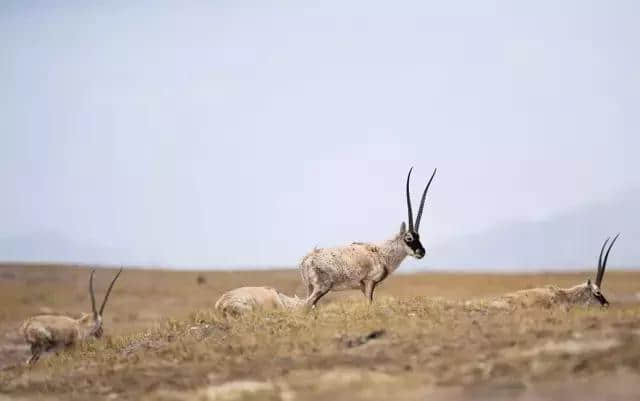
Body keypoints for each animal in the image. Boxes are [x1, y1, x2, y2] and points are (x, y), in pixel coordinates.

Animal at [298, 167, 436, 308]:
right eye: (408, 238)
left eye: (418, 236)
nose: (421, 252)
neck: (382, 253)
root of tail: (306, 259)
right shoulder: (369, 282)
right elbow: (370, 303)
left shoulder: (363, 287)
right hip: (322, 287)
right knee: (306, 304)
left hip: (311, 287)